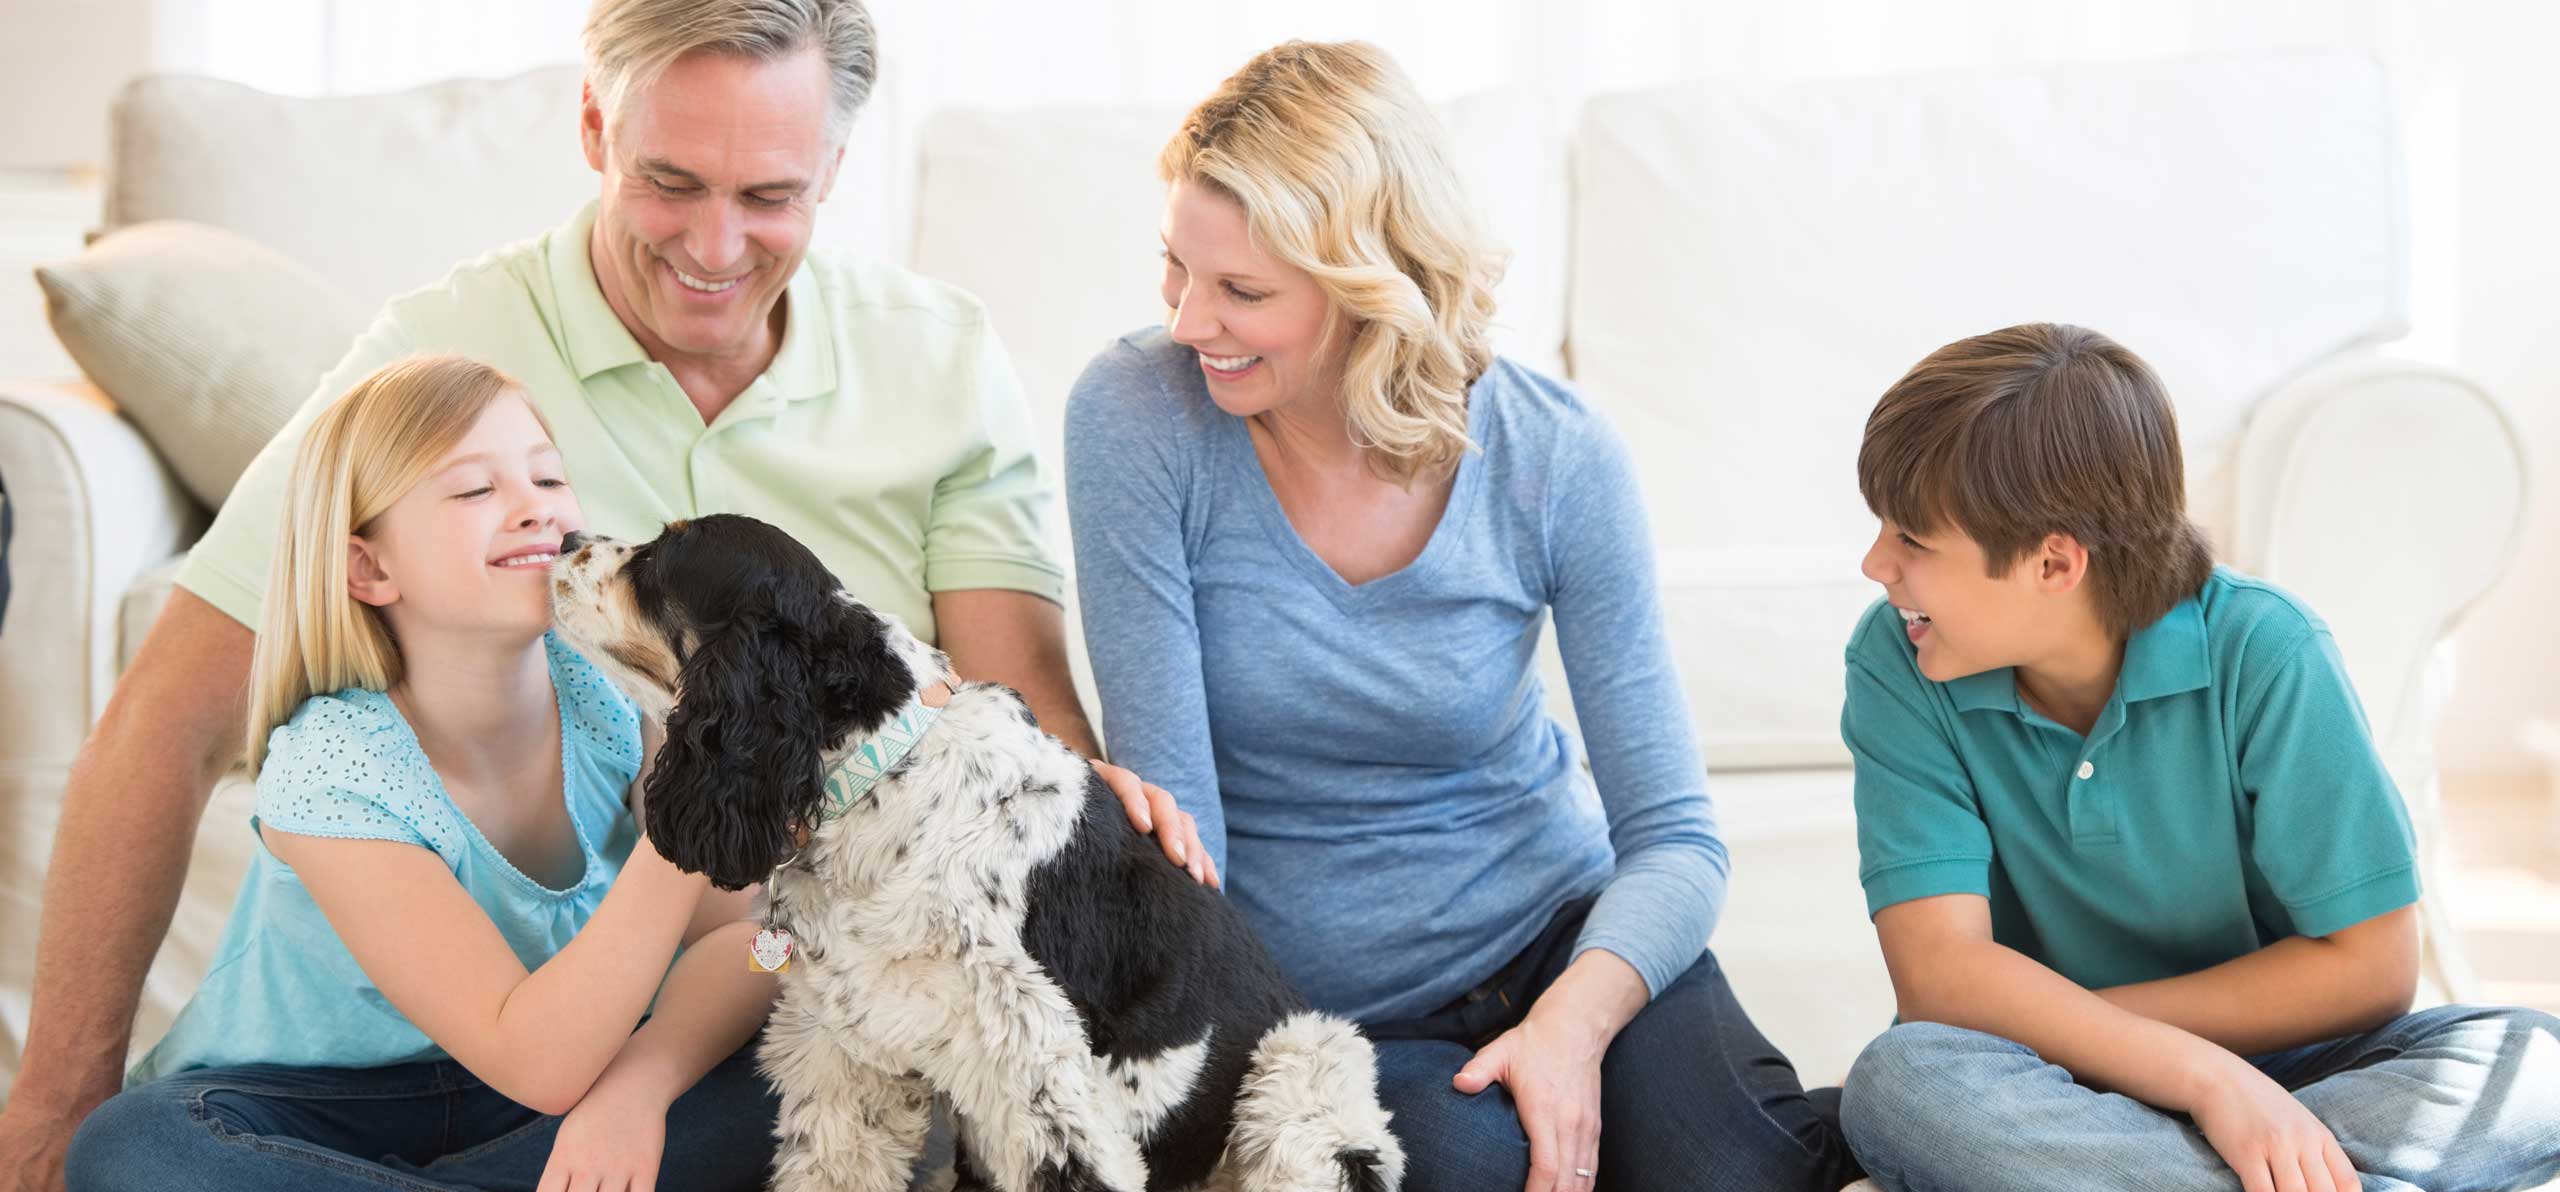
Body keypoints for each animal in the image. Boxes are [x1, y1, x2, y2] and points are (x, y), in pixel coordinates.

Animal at [547, 516, 1413, 1192]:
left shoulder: (1038, 1079)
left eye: (662, 555)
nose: (562, 537)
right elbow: (831, 1166)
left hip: (1300, 1077)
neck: (879, 776)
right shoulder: (850, 1056)